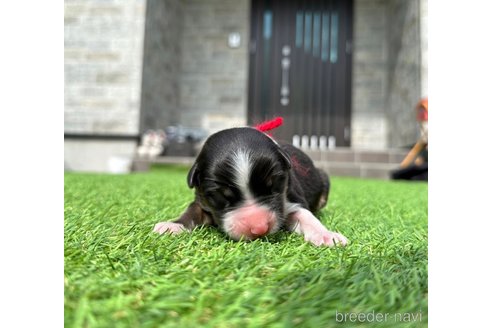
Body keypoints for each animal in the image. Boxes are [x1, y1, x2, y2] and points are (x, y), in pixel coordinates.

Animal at [152, 127, 348, 246]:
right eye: (221, 195)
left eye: (274, 185)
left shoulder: (291, 197)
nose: (259, 228)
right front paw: (173, 225)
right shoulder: (202, 200)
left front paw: (327, 235)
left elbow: (306, 216)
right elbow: (191, 211)